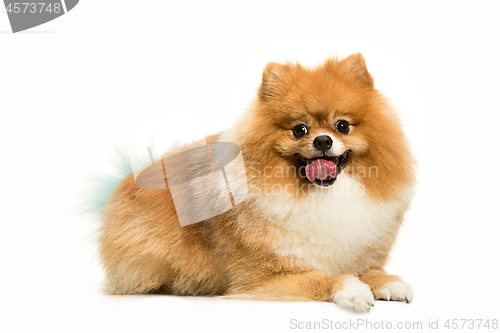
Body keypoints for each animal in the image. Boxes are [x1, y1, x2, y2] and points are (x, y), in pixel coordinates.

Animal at [97, 53, 414, 310]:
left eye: (342, 126)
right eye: (300, 129)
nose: (323, 140)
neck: (322, 196)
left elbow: (368, 270)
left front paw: (388, 282)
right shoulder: (261, 277)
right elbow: (324, 278)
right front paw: (353, 290)